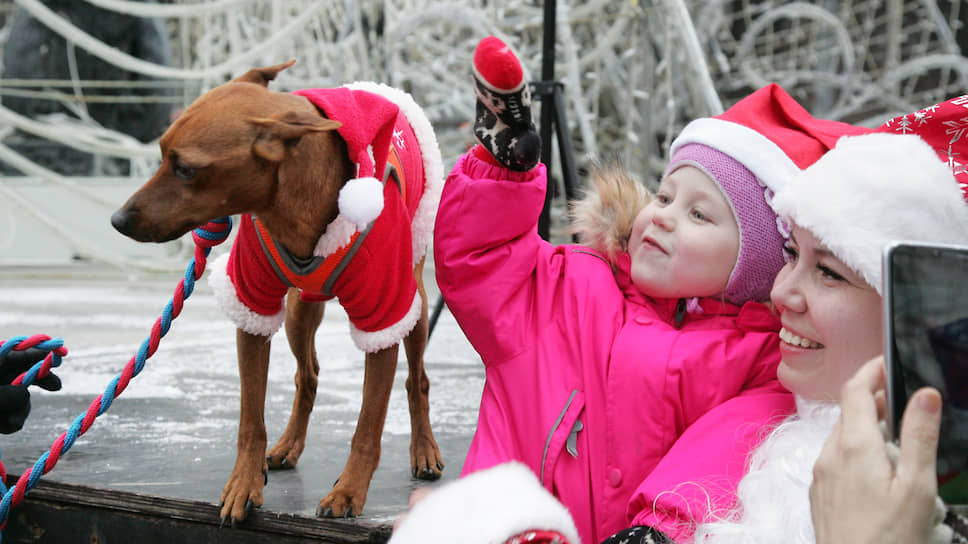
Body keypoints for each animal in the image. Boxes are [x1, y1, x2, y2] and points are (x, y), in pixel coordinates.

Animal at [111, 61, 444, 524]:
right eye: (162, 154)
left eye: (187, 169)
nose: (117, 219)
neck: (296, 209)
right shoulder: (252, 308)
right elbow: (251, 419)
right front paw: (243, 483)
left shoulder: (384, 314)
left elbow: (368, 424)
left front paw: (348, 491)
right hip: (299, 312)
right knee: (308, 375)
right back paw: (289, 444)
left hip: (415, 303)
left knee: (418, 380)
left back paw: (424, 449)